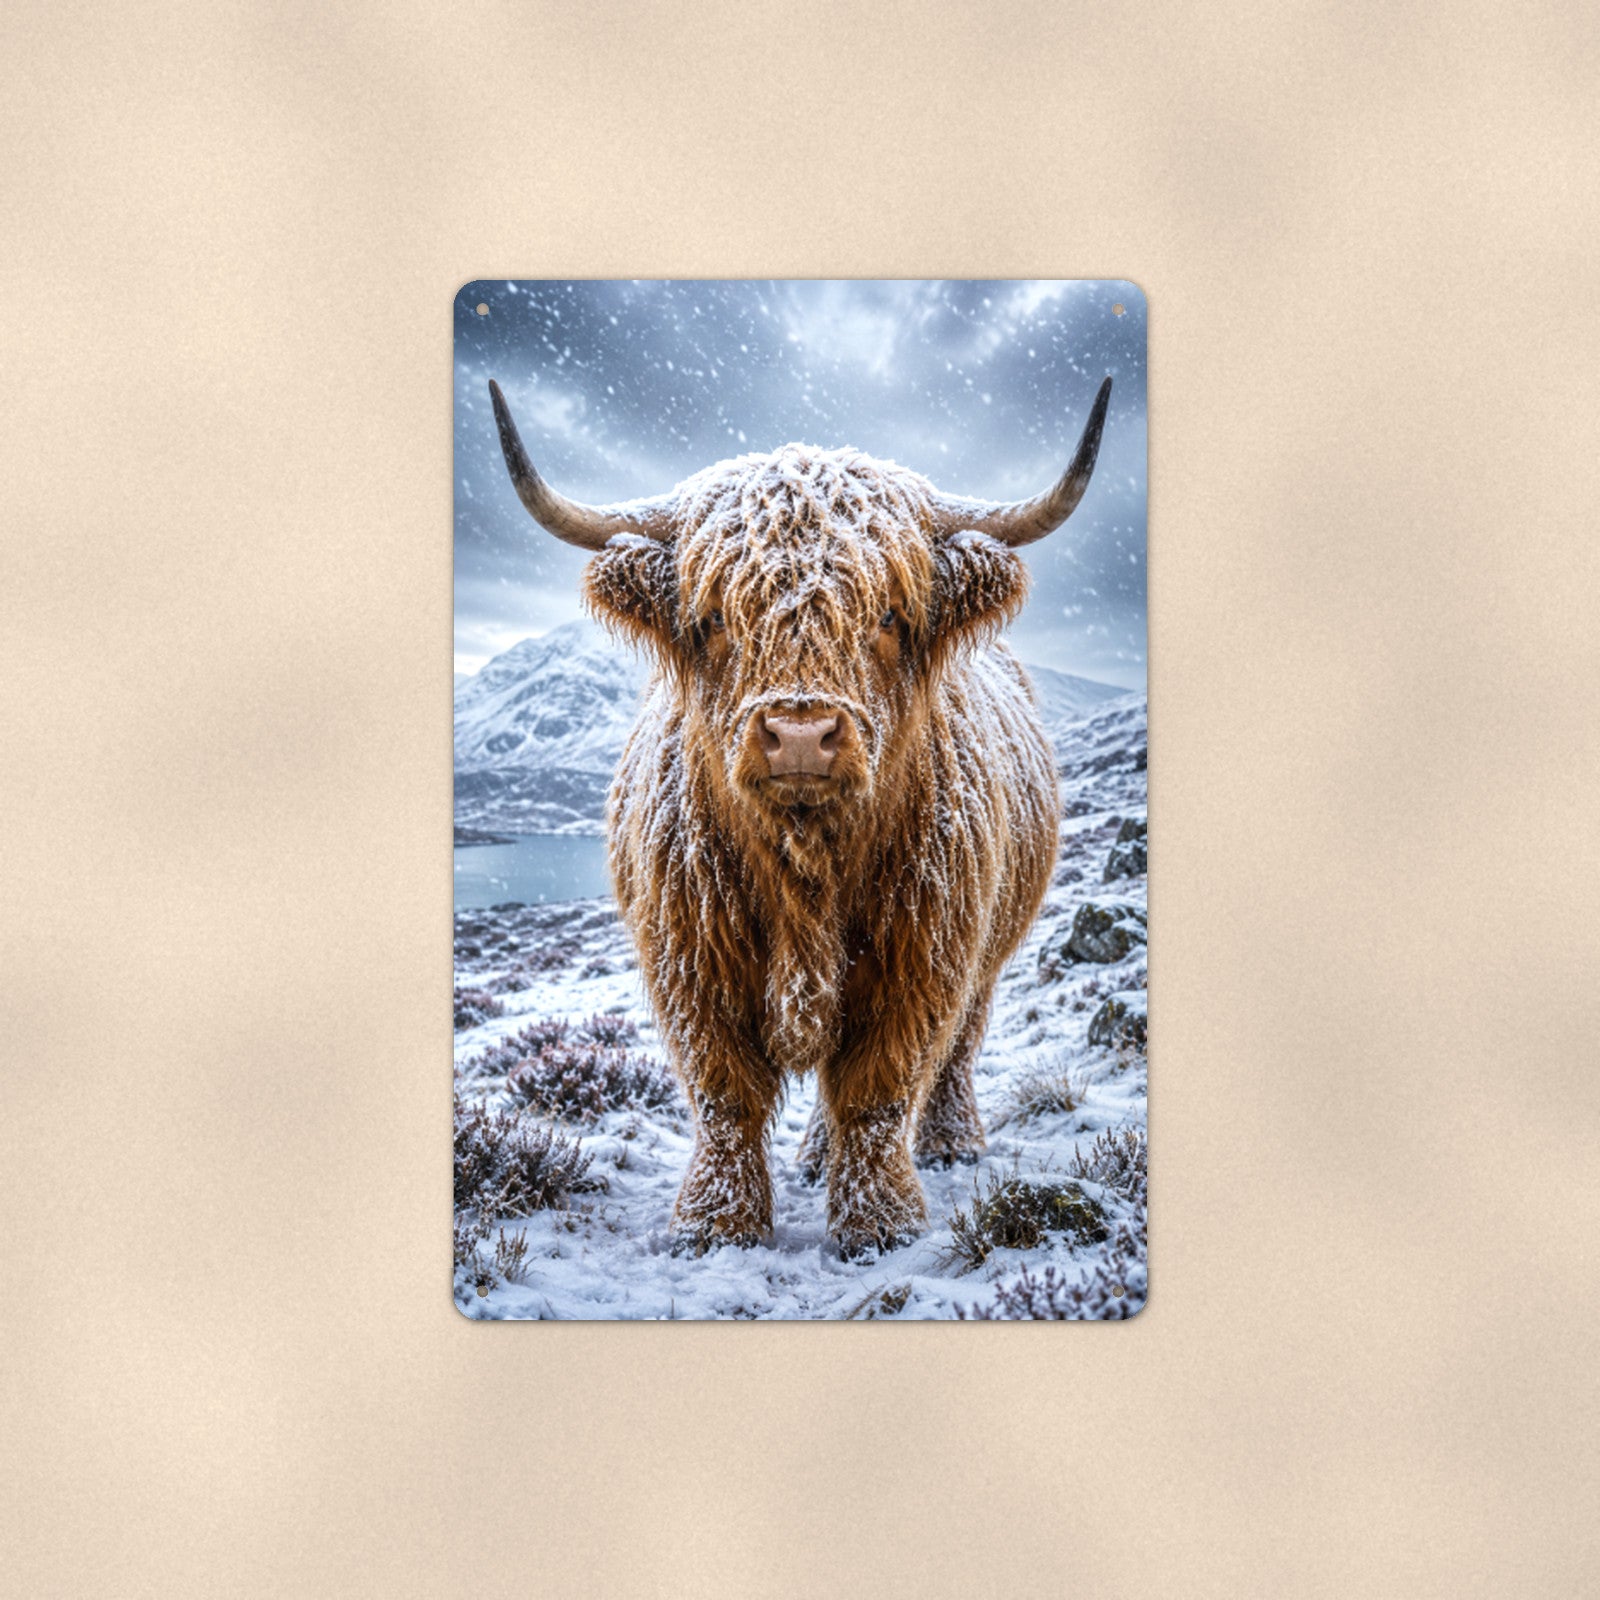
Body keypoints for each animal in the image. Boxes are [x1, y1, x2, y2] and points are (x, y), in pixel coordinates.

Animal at [488, 375, 1111, 1256]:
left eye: (889, 616)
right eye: (714, 618)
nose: (801, 735)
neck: (805, 865)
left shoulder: (923, 957)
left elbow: (879, 1090)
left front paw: (880, 1225)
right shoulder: (691, 960)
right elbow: (725, 1097)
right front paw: (717, 1226)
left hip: (987, 952)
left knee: (956, 1049)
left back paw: (948, 1141)